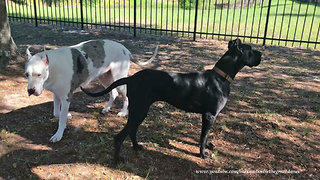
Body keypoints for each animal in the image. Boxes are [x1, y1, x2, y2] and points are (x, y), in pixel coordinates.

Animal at [25, 39, 159, 142]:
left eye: (39, 74)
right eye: (27, 74)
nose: (31, 90)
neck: (53, 67)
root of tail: (125, 49)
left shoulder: (66, 97)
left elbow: (61, 118)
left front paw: (58, 134)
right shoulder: (57, 94)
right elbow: (57, 113)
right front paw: (68, 115)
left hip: (119, 79)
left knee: (125, 97)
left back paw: (123, 112)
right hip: (105, 78)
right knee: (113, 93)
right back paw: (106, 109)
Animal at [80, 38, 260, 164]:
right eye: (250, 49)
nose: (261, 55)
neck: (220, 77)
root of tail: (131, 78)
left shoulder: (210, 116)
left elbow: (206, 135)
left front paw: (208, 145)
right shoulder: (209, 115)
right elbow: (202, 137)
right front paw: (203, 153)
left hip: (139, 111)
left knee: (131, 131)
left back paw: (137, 147)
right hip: (140, 110)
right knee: (120, 137)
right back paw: (117, 160)